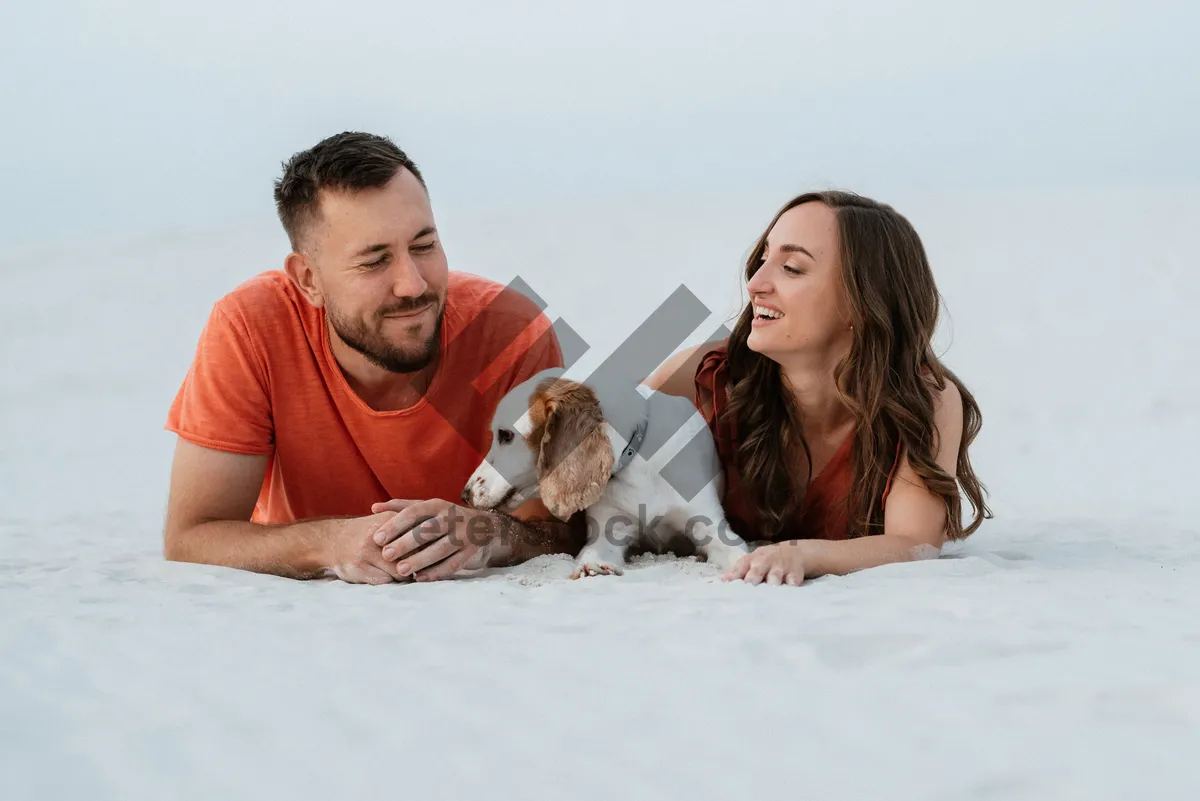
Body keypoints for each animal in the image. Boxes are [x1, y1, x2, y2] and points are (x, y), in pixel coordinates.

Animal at [460, 366, 748, 577]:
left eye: (505, 435)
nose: (465, 493)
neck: (635, 462)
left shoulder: (710, 526)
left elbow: (735, 553)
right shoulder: (608, 531)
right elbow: (595, 552)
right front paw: (593, 566)